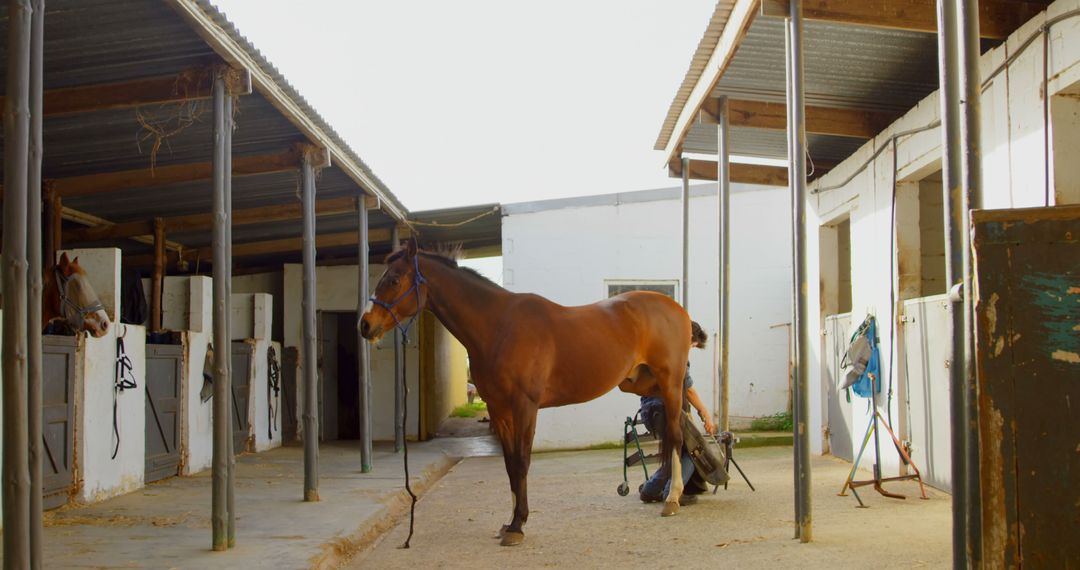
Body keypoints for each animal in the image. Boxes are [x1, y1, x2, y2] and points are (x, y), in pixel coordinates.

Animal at [358, 239, 686, 544]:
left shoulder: (525, 406)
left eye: (394, 279)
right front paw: (511, 522)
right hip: (645, 385)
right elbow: (510, 464)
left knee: (676, 435)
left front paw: (518, 524)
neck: (498, 327)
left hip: (670, 384)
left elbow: (523, 461)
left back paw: (672, 500)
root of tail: (676, 309)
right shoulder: (499, 409)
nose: (365, 325)